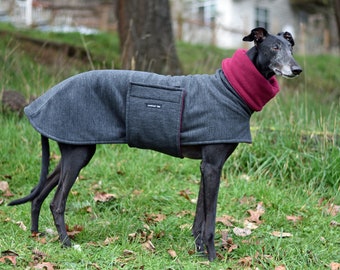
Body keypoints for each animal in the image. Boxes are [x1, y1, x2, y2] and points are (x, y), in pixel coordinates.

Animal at [7, 26, 302, 260]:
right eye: (274, 47)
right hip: (77, 154)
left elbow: (199, 216)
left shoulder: (205, 166)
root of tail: (41, 100)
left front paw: (197, 252)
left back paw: (36, 235)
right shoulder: (213, 165)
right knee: (56, 203)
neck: (231, 88)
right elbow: (210, 221)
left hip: (74, 151)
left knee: (39, 194)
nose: (297, 69)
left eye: (290, 46)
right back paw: (68, 244)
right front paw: (212, 257)